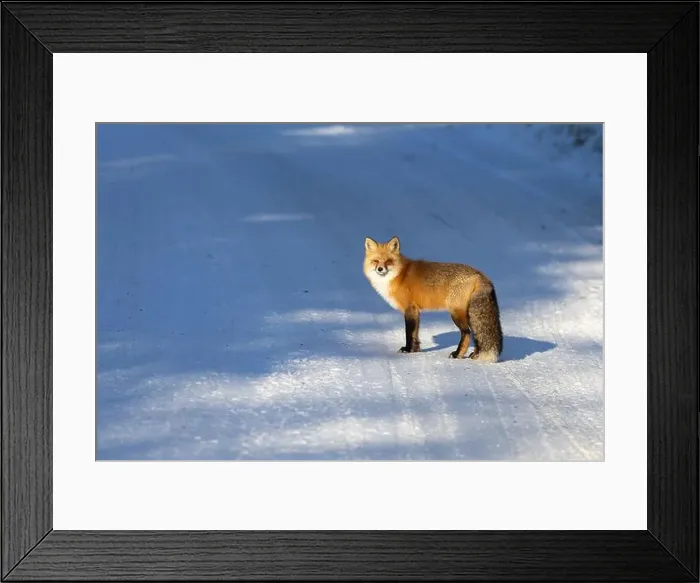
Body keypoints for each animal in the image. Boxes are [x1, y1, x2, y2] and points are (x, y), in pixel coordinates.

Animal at [363, 236, 503, 362]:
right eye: (375, 261)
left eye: (388, 261)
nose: (380, 269)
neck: (399, 275)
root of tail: (481, 275)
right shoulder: (416, 311)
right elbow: (415, 334)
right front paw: (415, 350)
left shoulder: (409, 309)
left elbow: (409, 333)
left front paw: (407, 350)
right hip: (470, 314)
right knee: (476, 334)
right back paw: (475, 355)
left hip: (456, 312)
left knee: (467, 333)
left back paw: (457, 354)